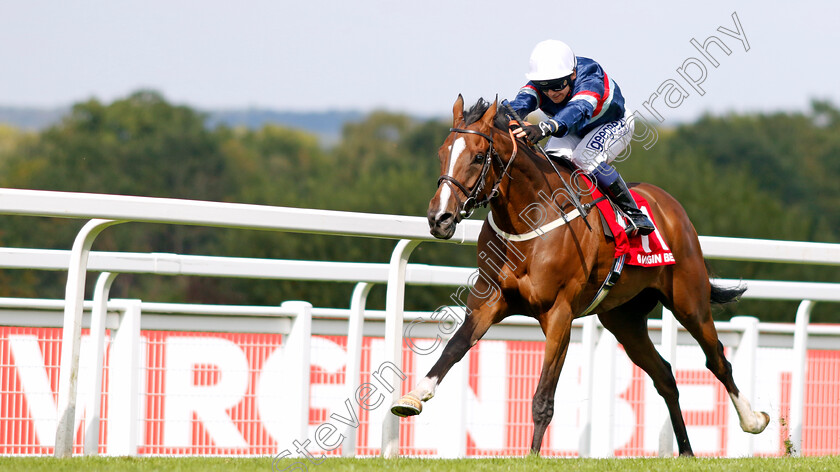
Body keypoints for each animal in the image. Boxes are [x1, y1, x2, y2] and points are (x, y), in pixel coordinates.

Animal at [390, 97, 772, 458]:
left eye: (479, 156)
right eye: (442, 153)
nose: (439, 218)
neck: (529, 218)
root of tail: (671, 206)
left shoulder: (559, 313)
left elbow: (543, 396)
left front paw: (532, 455)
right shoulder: (489, 300)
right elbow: (454, 347)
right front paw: (414, 395)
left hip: (689, 300)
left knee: (717, 360)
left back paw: (753, 420)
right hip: (624, 318)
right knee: (665, 376)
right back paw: (687, 450)